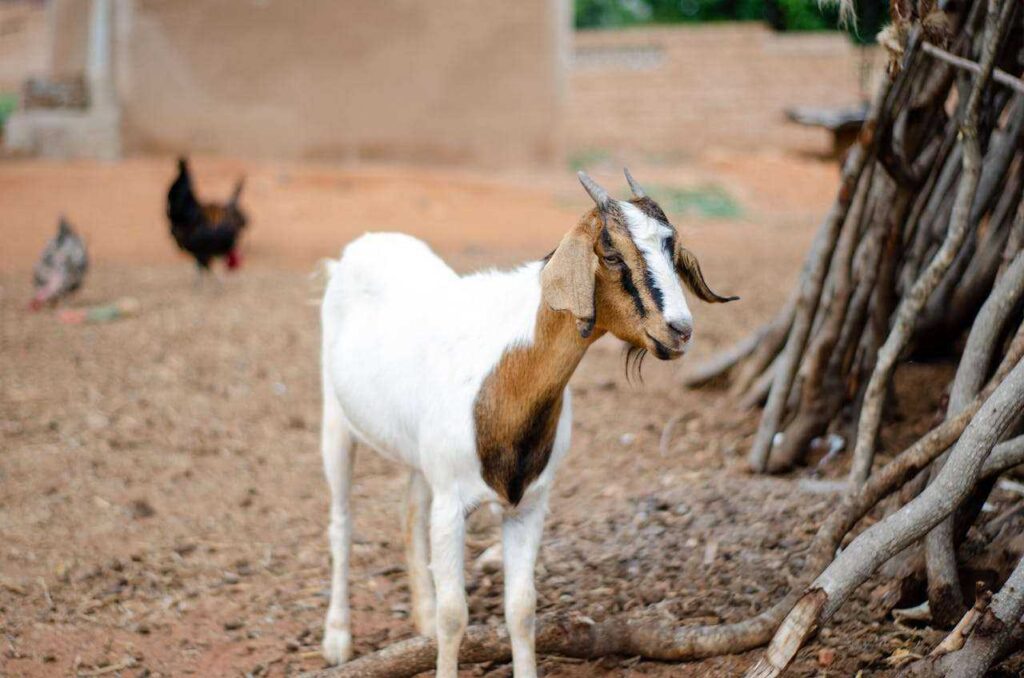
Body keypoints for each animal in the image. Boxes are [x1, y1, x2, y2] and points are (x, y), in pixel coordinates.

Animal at [318, 170, 737, 677]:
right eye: (612, 253)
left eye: (671, 249)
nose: (680, 330)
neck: (501, 374)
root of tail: (363, 246)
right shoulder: (452, 503)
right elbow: (455, 614)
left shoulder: (530, 504)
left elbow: (521, 608)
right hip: (334, 419)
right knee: (342, 524)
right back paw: (337, 640)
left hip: (418, 454)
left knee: (410, 512)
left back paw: (418, 617)